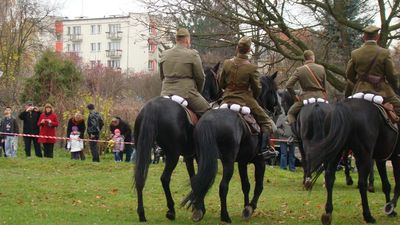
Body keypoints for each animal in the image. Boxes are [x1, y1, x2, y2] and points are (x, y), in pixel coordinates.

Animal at [134, 62, 222, 222]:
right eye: (217, 77)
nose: (221, 94)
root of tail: (153, 107)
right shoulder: (198, 156)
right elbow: (199, 177)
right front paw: (199, 209)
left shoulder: (188, 156)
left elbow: (193, 178)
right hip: (173, 155)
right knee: (165, 178)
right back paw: (171, 210)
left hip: (143, 150)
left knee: (140, 176)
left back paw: (141, 213)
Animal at [181, 72, 278, 223]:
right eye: (274, 89)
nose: (277, 109)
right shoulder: (260, 161)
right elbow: (259, 186)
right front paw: (250, 207)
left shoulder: (243, 162)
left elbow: (246, 185)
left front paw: (245, 207)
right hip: (228, 162)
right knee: (223, 186)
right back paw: (225, 216)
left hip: (203, 159)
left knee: (198, 182)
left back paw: (198, 210)